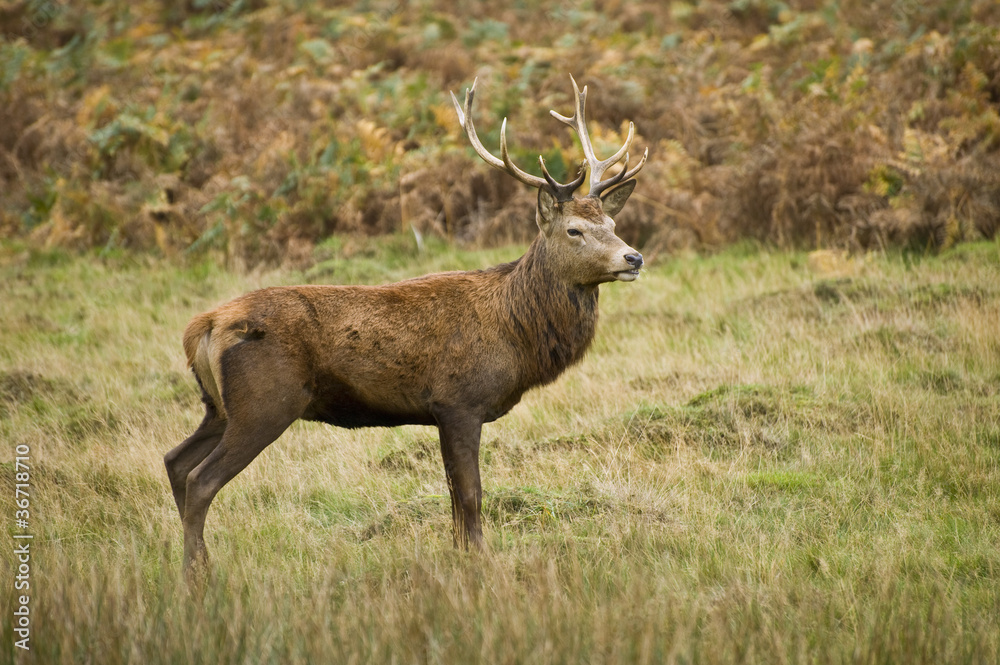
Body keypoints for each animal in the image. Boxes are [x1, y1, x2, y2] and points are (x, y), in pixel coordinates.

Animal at [164, 75, 647, 576]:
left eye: (612, 223)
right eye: (574, 230)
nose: (633, 257)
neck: (514, 331)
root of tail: (203, 325)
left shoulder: (442, 412)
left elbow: (454, 496)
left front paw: (459, 553)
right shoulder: (458, 400)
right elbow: (470, 494)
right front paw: (479, 559)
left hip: (219, 406)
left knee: (175, 462)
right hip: (265, 401)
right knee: (201, 479)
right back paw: (197, 573)